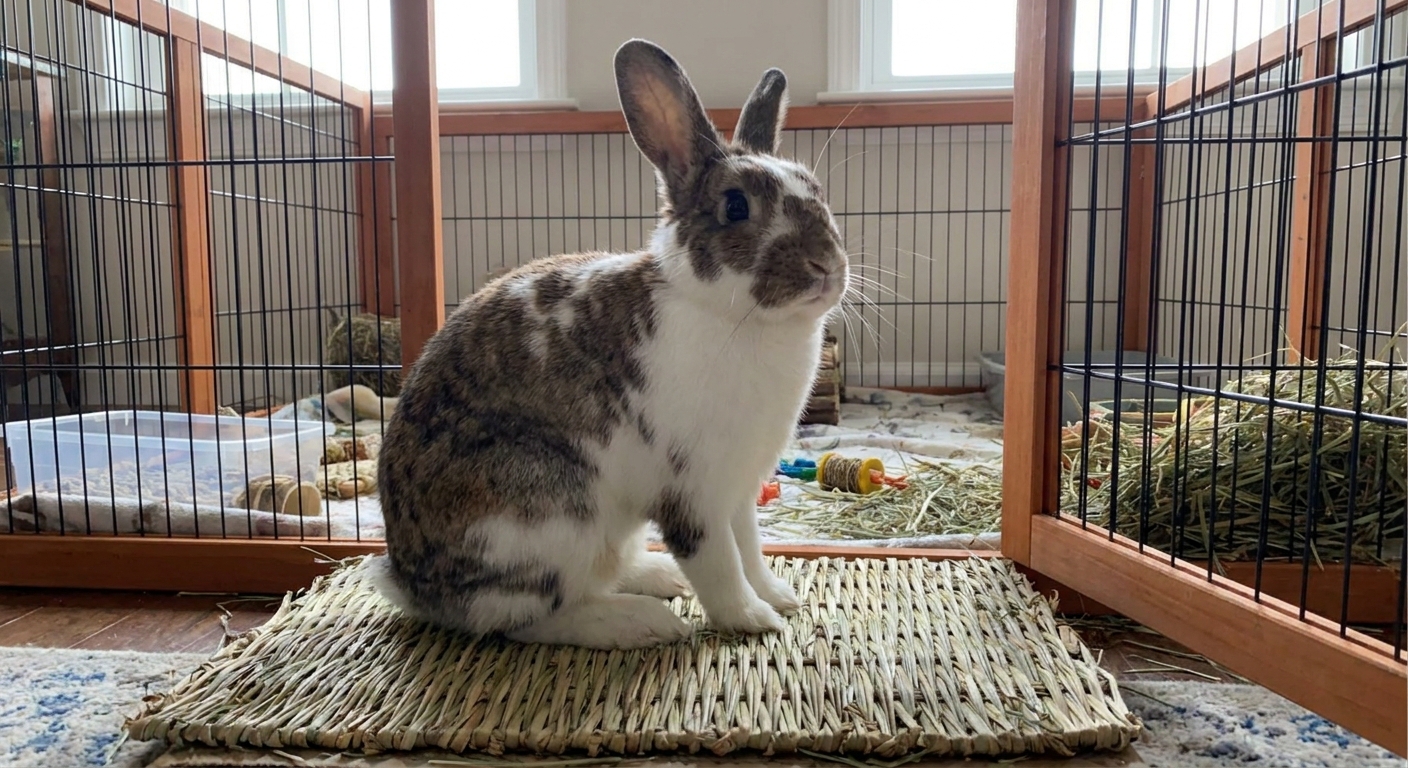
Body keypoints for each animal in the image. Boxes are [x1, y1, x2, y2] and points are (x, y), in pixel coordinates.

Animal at [371, 38, 849, 649]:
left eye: (817, 192)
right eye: (736, 206)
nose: (826, 267)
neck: (737, 317)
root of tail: (413, 586)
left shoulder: (739, 487)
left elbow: (750, 547)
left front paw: (778, 597)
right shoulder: (693, 490)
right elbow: (717, 561)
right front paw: (751, 619)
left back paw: (656, 578)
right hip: (545, 511)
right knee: (525, 617)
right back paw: (641, 622)